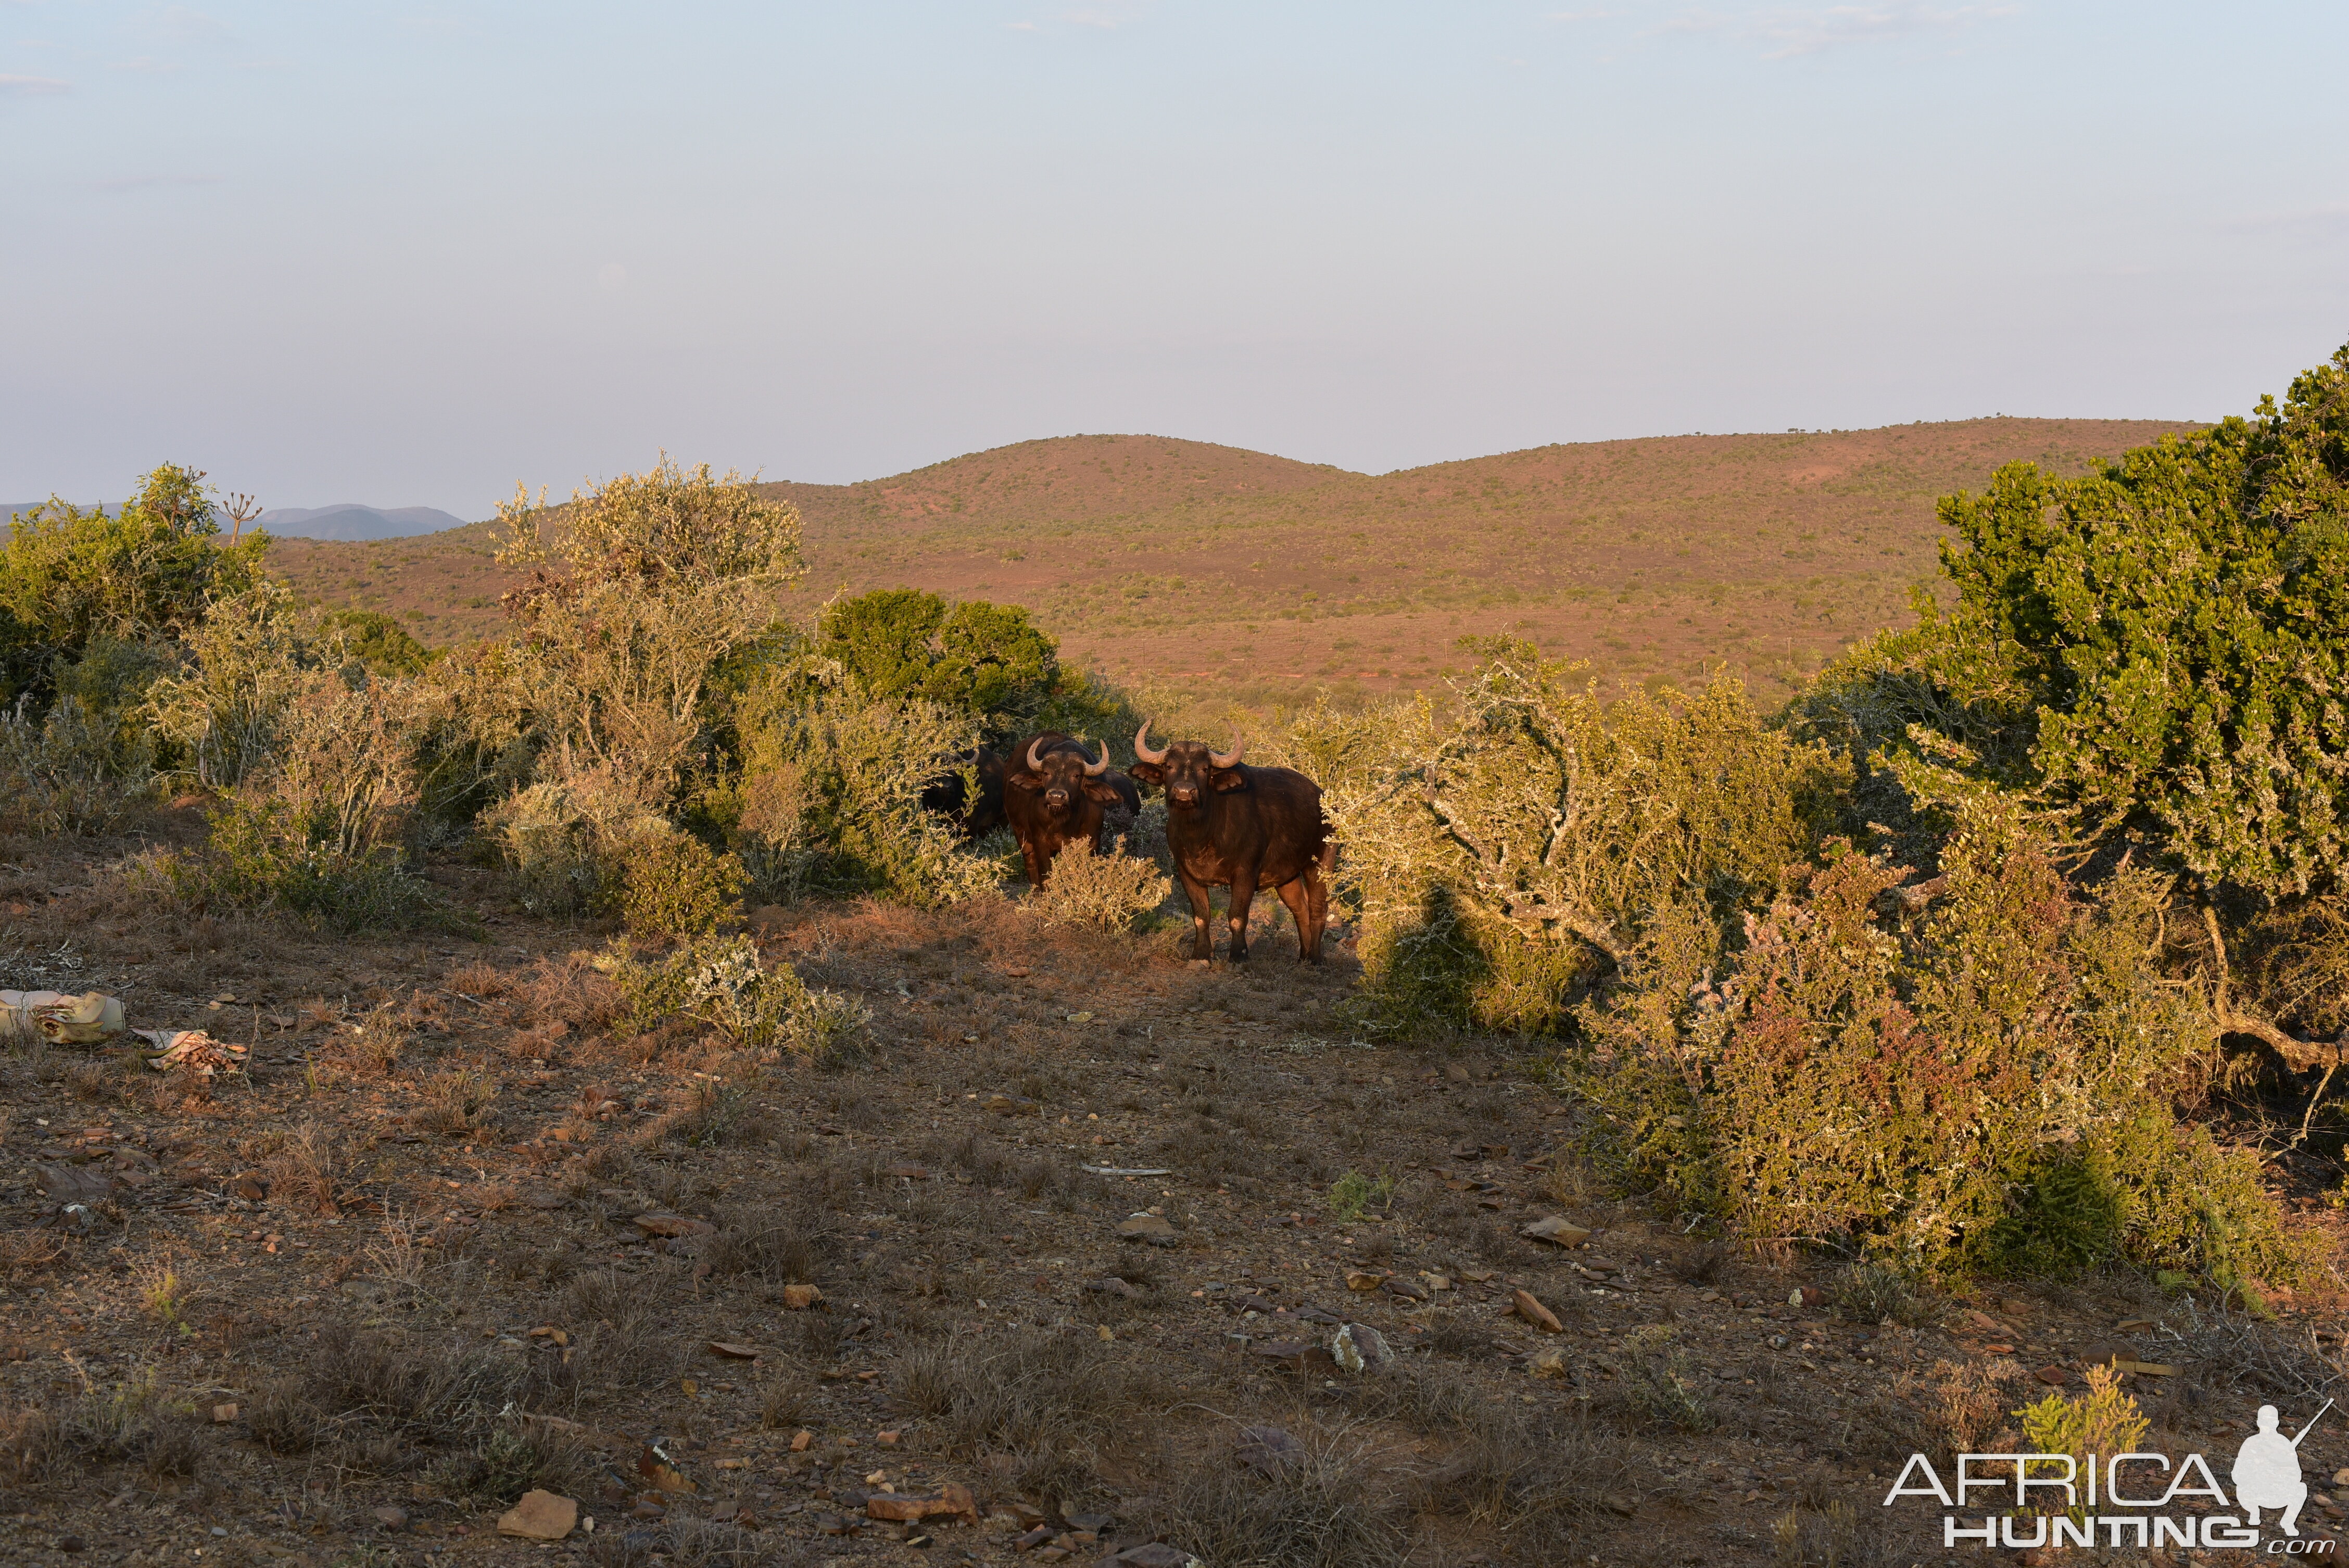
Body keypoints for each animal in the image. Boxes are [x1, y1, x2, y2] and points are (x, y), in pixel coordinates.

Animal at [1001, 732, 1136, 887]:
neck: (1065, 821)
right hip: (1020, 834)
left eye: (1076, 775)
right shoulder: (1040, 840)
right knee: (1031, 864)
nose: (1056, 796)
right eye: (1046, 773)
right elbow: (1046, 875)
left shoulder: (1092, 841)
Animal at [1127, 727, 1334, 967]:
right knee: (1299, 909)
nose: (1184, 793)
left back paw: (1316, 959)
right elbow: (1201, 916)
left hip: (1321, 865)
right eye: (1169, 766)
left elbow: (1237, 916)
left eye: (1205, 769)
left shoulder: (1246, 874)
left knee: (1318, 910)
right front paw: (1200, 955)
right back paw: (1303, 957)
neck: (1201, 835)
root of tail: (1325, 799)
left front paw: (1238, 955)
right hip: (1286, 877)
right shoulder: (1186, 873)